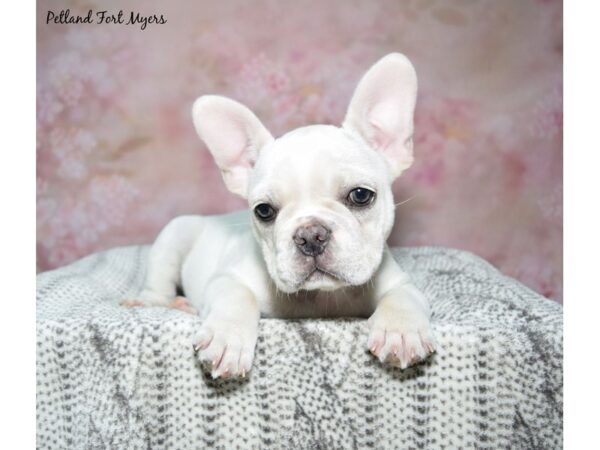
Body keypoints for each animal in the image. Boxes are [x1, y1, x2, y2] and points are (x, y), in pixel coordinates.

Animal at [124, 52, 438, 378]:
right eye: (264, 211)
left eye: (361, 195)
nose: (311, 235)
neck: (319, 297)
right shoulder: (227, 278)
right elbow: (236, 297)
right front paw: (226, 337)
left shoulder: (401, 284)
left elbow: (404, 297)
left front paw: (401, 331)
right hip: (174, 235)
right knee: (158, 281)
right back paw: (158, 301)